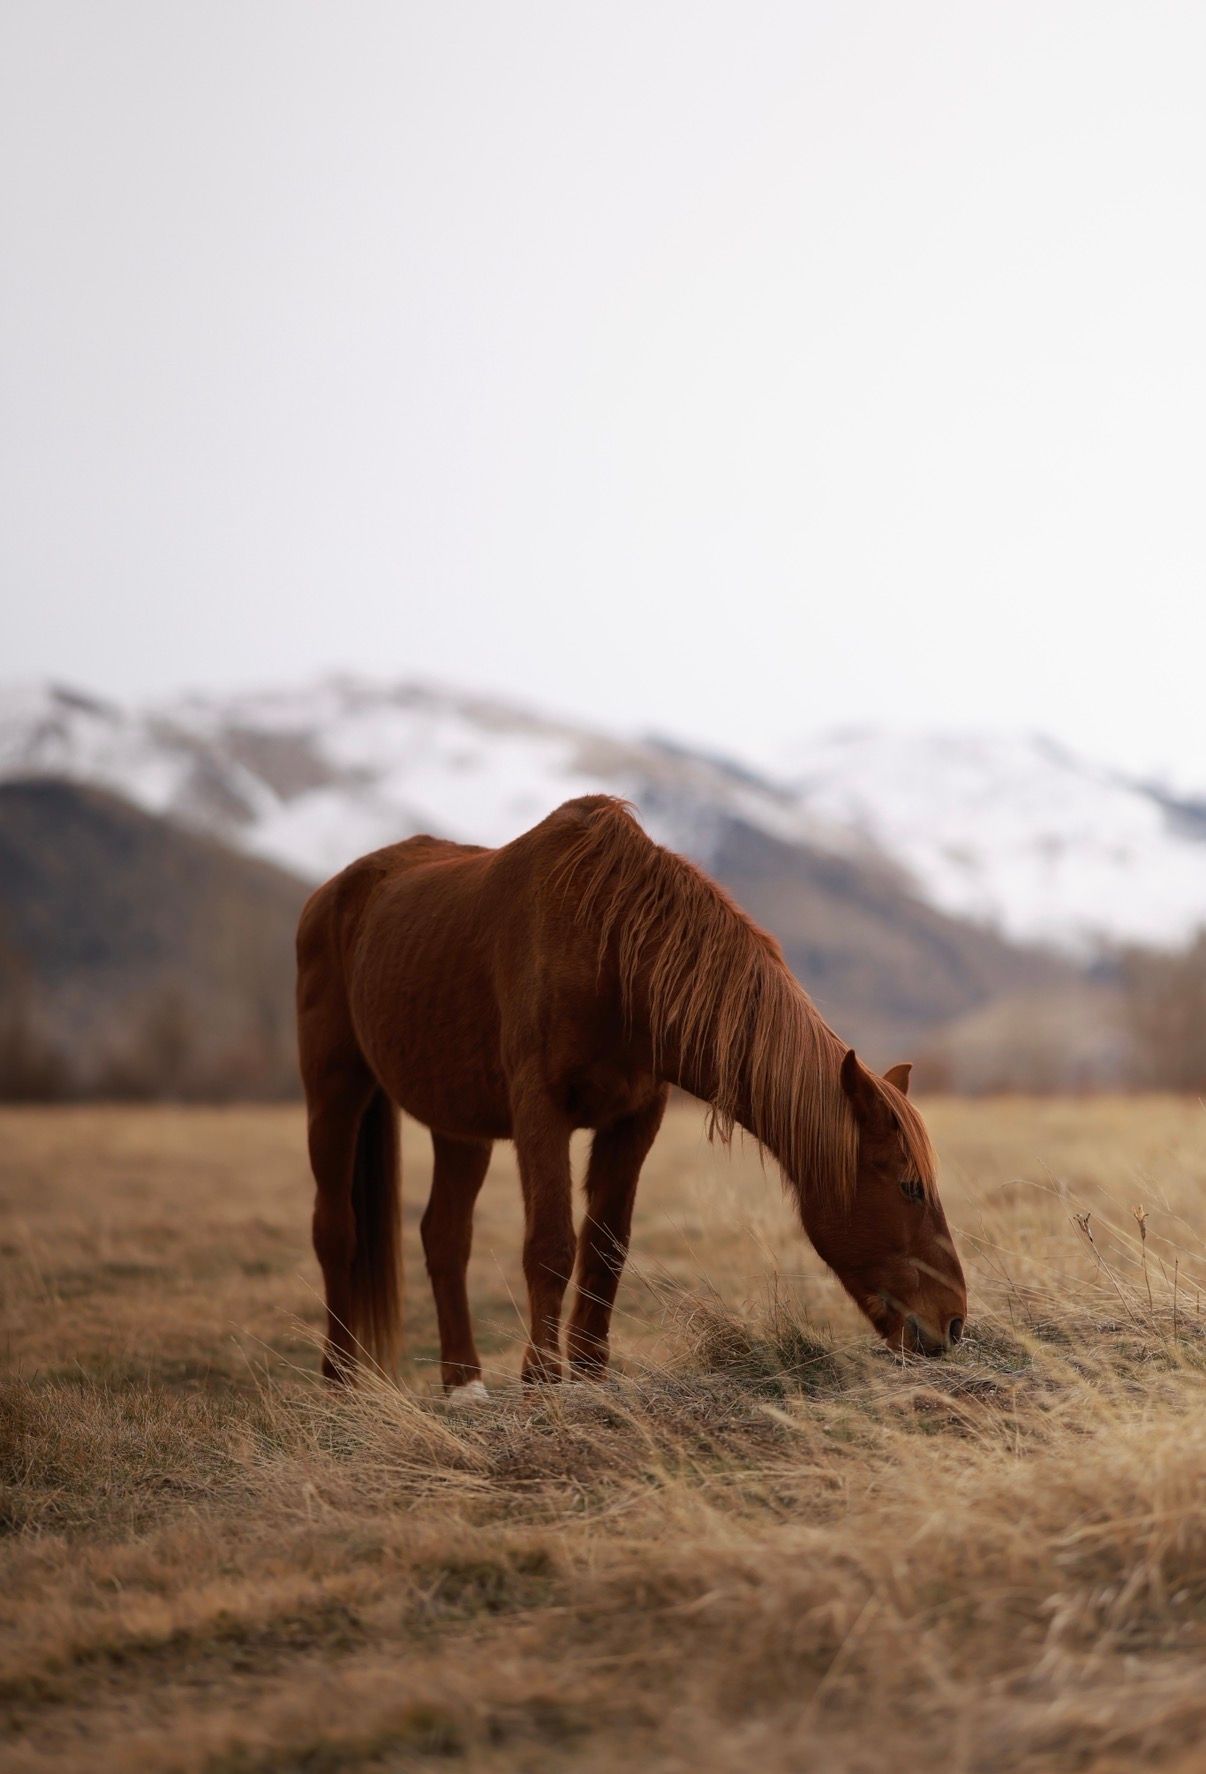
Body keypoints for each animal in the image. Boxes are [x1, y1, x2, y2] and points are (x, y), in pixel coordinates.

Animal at [296, 795, 967, 1396]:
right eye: (909, 1186)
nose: (955, 1322)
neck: (609, 950)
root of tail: (334, 891)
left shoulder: (635, 1119)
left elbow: (605, 1248)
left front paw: (591, 1375)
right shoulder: (541, 1112)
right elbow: (550, 1246)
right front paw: (543, 1384)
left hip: (460, 1124)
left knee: (444, 1237)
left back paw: (464, 1385)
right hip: (334, 1091)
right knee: (336, 1232)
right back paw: (339, 1383)